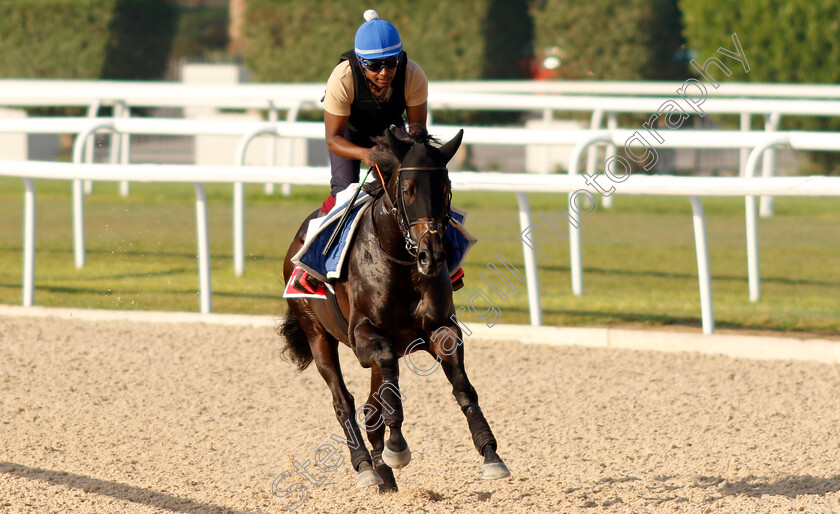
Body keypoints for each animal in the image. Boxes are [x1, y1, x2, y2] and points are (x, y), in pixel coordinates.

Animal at [278, 126, 508, 490]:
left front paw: (490, 454)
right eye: (408, 188)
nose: (432, 256)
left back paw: (382, 472)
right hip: (316, 332)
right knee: (343, 400)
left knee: (372, 407)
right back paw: (366, 466)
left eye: (446, 189)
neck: (399, 259)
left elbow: (462, 387)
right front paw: (397, 447)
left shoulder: (440, 327)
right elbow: (388, 385)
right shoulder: (363, 336)